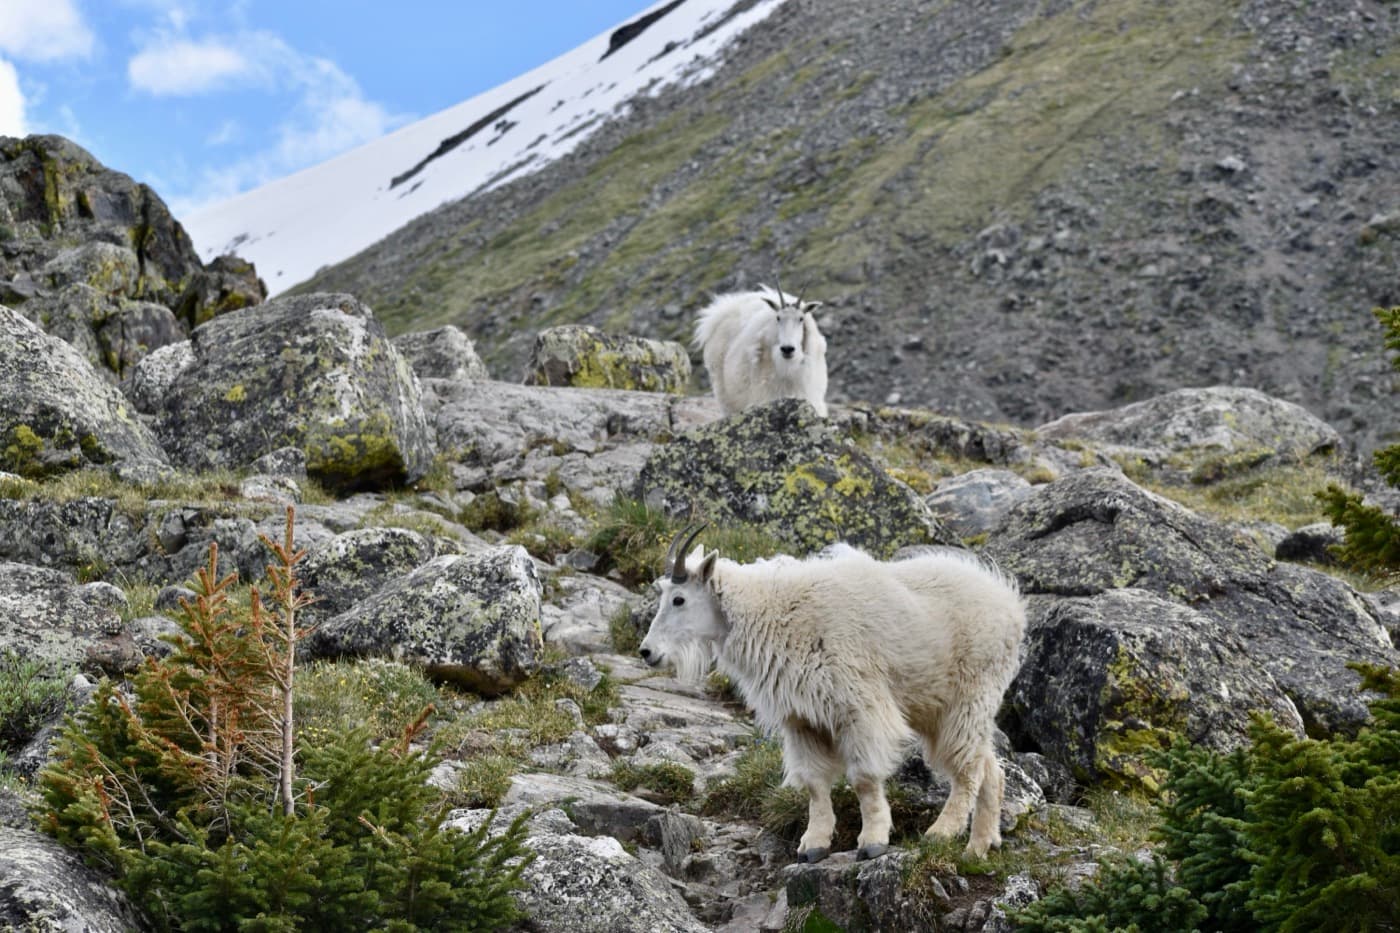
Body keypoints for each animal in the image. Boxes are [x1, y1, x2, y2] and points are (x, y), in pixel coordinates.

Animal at [639, 526, 1025, 861]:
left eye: (679, 599)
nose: (647, 651)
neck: (769, 611)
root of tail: (1009, 602)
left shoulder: (860, 705)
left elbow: (864, 778)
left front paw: (873, 841)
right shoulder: (802, 718)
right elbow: (814, 782)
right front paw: (814, 844)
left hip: (969, 696)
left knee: (969, 768)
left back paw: (942, 832)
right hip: (936, 706)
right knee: (990, 767)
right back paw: (980, 845)